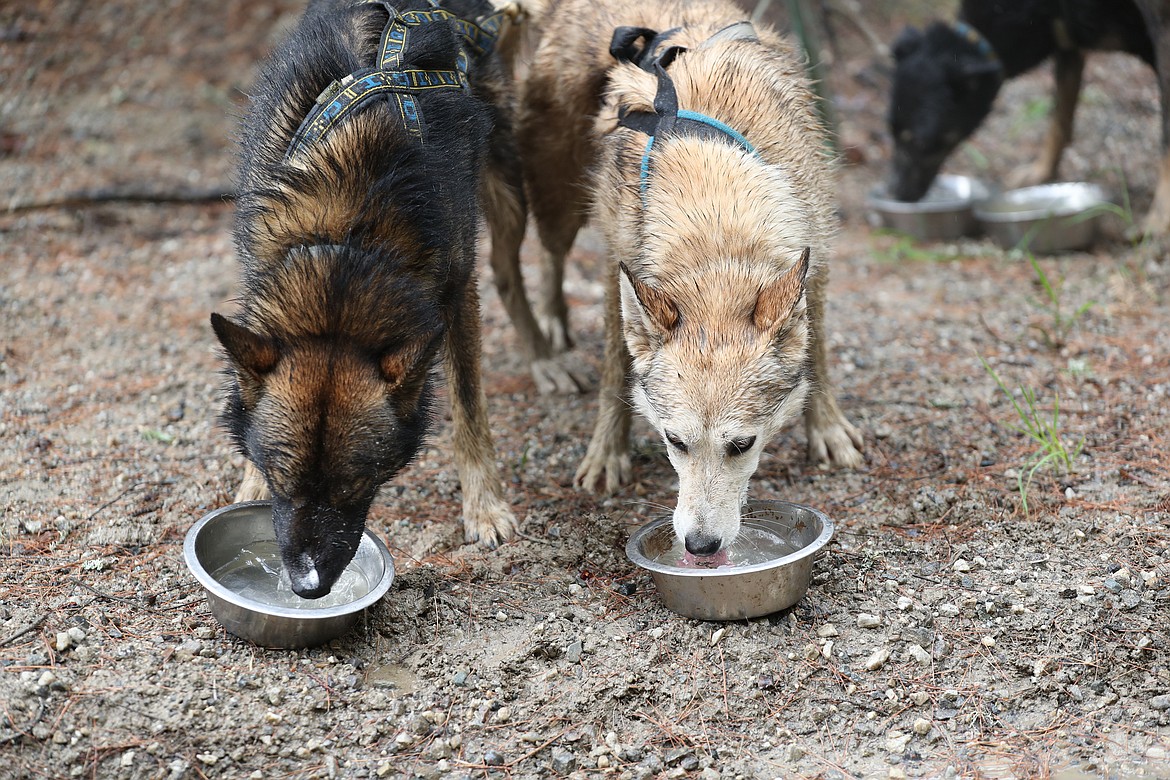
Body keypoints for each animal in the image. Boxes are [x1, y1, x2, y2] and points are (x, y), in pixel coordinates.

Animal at [210, 0, 538, 598]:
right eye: (281, 480)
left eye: (356, 484)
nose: (307, 587)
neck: (349, 241)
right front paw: (246, 486)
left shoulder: (455, 295)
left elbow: (469, 404)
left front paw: (484, 507)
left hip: (504, 183)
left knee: (510, 273)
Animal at [498, 0, 865, 558]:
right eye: (675, 441)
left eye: (742, 445)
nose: (700, 545)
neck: (714, 211)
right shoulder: (620, 264)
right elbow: (615, 375)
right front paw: (607, 453)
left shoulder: (815, 258)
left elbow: (818, 354)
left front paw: (826, 429)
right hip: (558, 199)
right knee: (547, 256)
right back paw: (553, 325)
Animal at [884, 0, 1170, 233]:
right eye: (890, 131)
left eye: (921, 141)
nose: (894, 192)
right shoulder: (1067, 41)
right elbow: (1059, 119)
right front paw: (1042, 170)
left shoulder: (1159, 41)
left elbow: (1166, 142)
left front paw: (1159, 220)